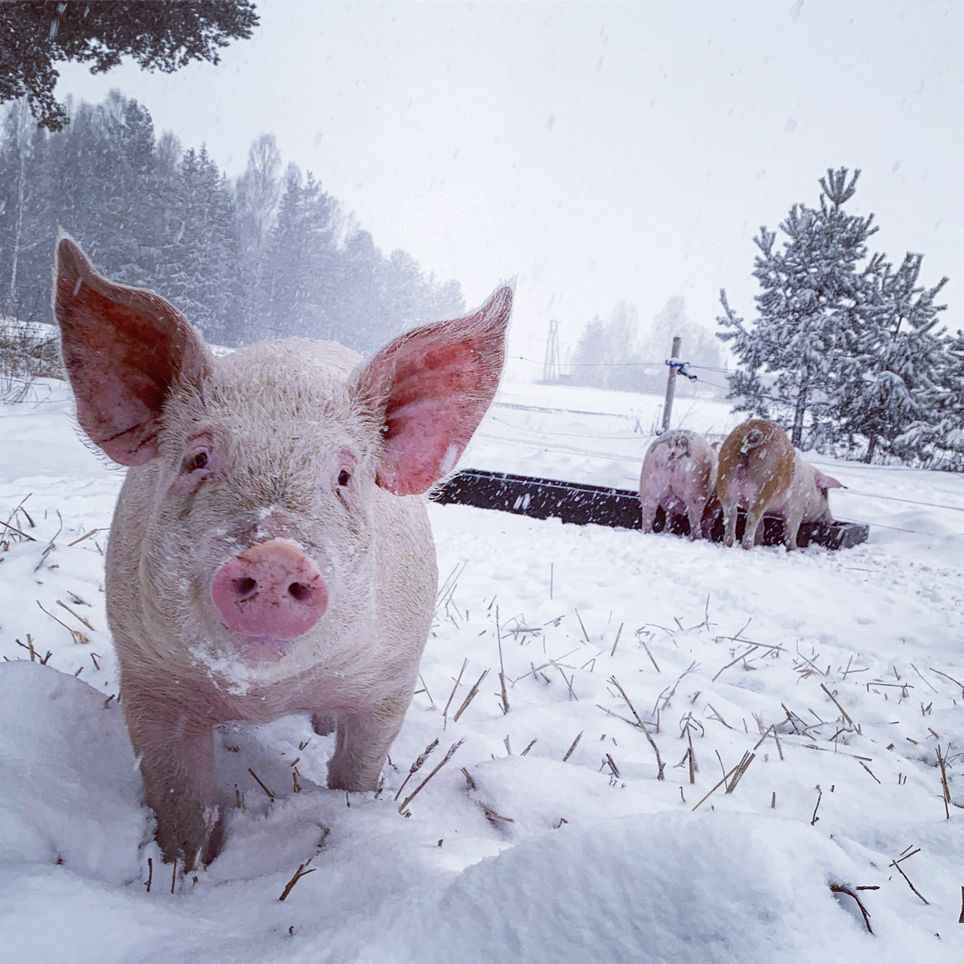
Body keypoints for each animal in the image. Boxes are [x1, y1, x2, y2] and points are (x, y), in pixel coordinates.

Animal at [52, 235, 512, 872]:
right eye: (198, 458)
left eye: (344, 475)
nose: (275, 556)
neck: (267, 697)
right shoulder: (149, 680)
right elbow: (178, 796)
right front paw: (183, 872)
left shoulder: (390, 679)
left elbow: (358, 769)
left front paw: (349, 813)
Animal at [716, 420, 844, 552]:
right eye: (825, 493)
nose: (833, 521)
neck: (810, 487)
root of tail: (753, 433)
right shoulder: (796, 508)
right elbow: (791, 529)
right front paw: (793, 548)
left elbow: (761, 525)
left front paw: (760, 541)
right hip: (764, 485)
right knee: (752, 518)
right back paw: (748, 547)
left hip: (725, 482)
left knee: (731, 515)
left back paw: (729, 543)